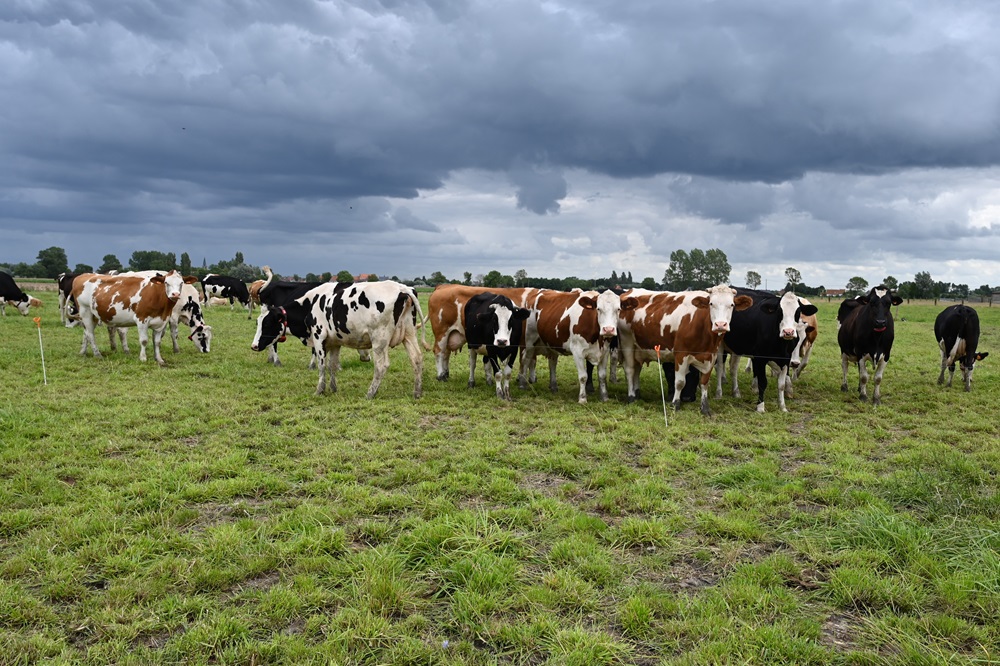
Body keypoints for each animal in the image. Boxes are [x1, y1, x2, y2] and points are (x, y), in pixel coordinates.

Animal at [70, 270, 199, 364]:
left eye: (181, 283)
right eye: (166, 283)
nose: (175, 294)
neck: (157, 297)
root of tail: (83, 276)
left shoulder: (161, 322)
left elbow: (157, 342)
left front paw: (159, 359)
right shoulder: (142, 320)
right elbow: (144, 340)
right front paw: (143, 358)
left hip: (94, 315)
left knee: (86, 332)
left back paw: (83, 352)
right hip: (85, 311)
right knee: (91, 334)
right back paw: (97, 354)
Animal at [252, 278, 428, 396]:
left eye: (267, 324)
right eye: (258, 323)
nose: (254, 346)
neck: (311, 304)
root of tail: (402, 288)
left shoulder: (319, 336)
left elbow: (322, 365)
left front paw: (319, 390)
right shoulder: (334, 342)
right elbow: (332, 365)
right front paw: (333, 388)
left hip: (379, 340)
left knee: (381, 365)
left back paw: (370, 393)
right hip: (409, 334)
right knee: (417, 359)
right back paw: (417, 392)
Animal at [616, 284, 752, 412]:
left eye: (732, 305)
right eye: (711, 304)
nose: (720, 325)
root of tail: (628, 292)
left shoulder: (711, 356)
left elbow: (704, 383)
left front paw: (705, 408)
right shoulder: (681, 354)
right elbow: (680, 382)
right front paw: (675, 404)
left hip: (638, 348)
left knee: (637, 370)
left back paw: (637, 393)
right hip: (627, 343)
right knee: (630, 370)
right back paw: (631, 397)